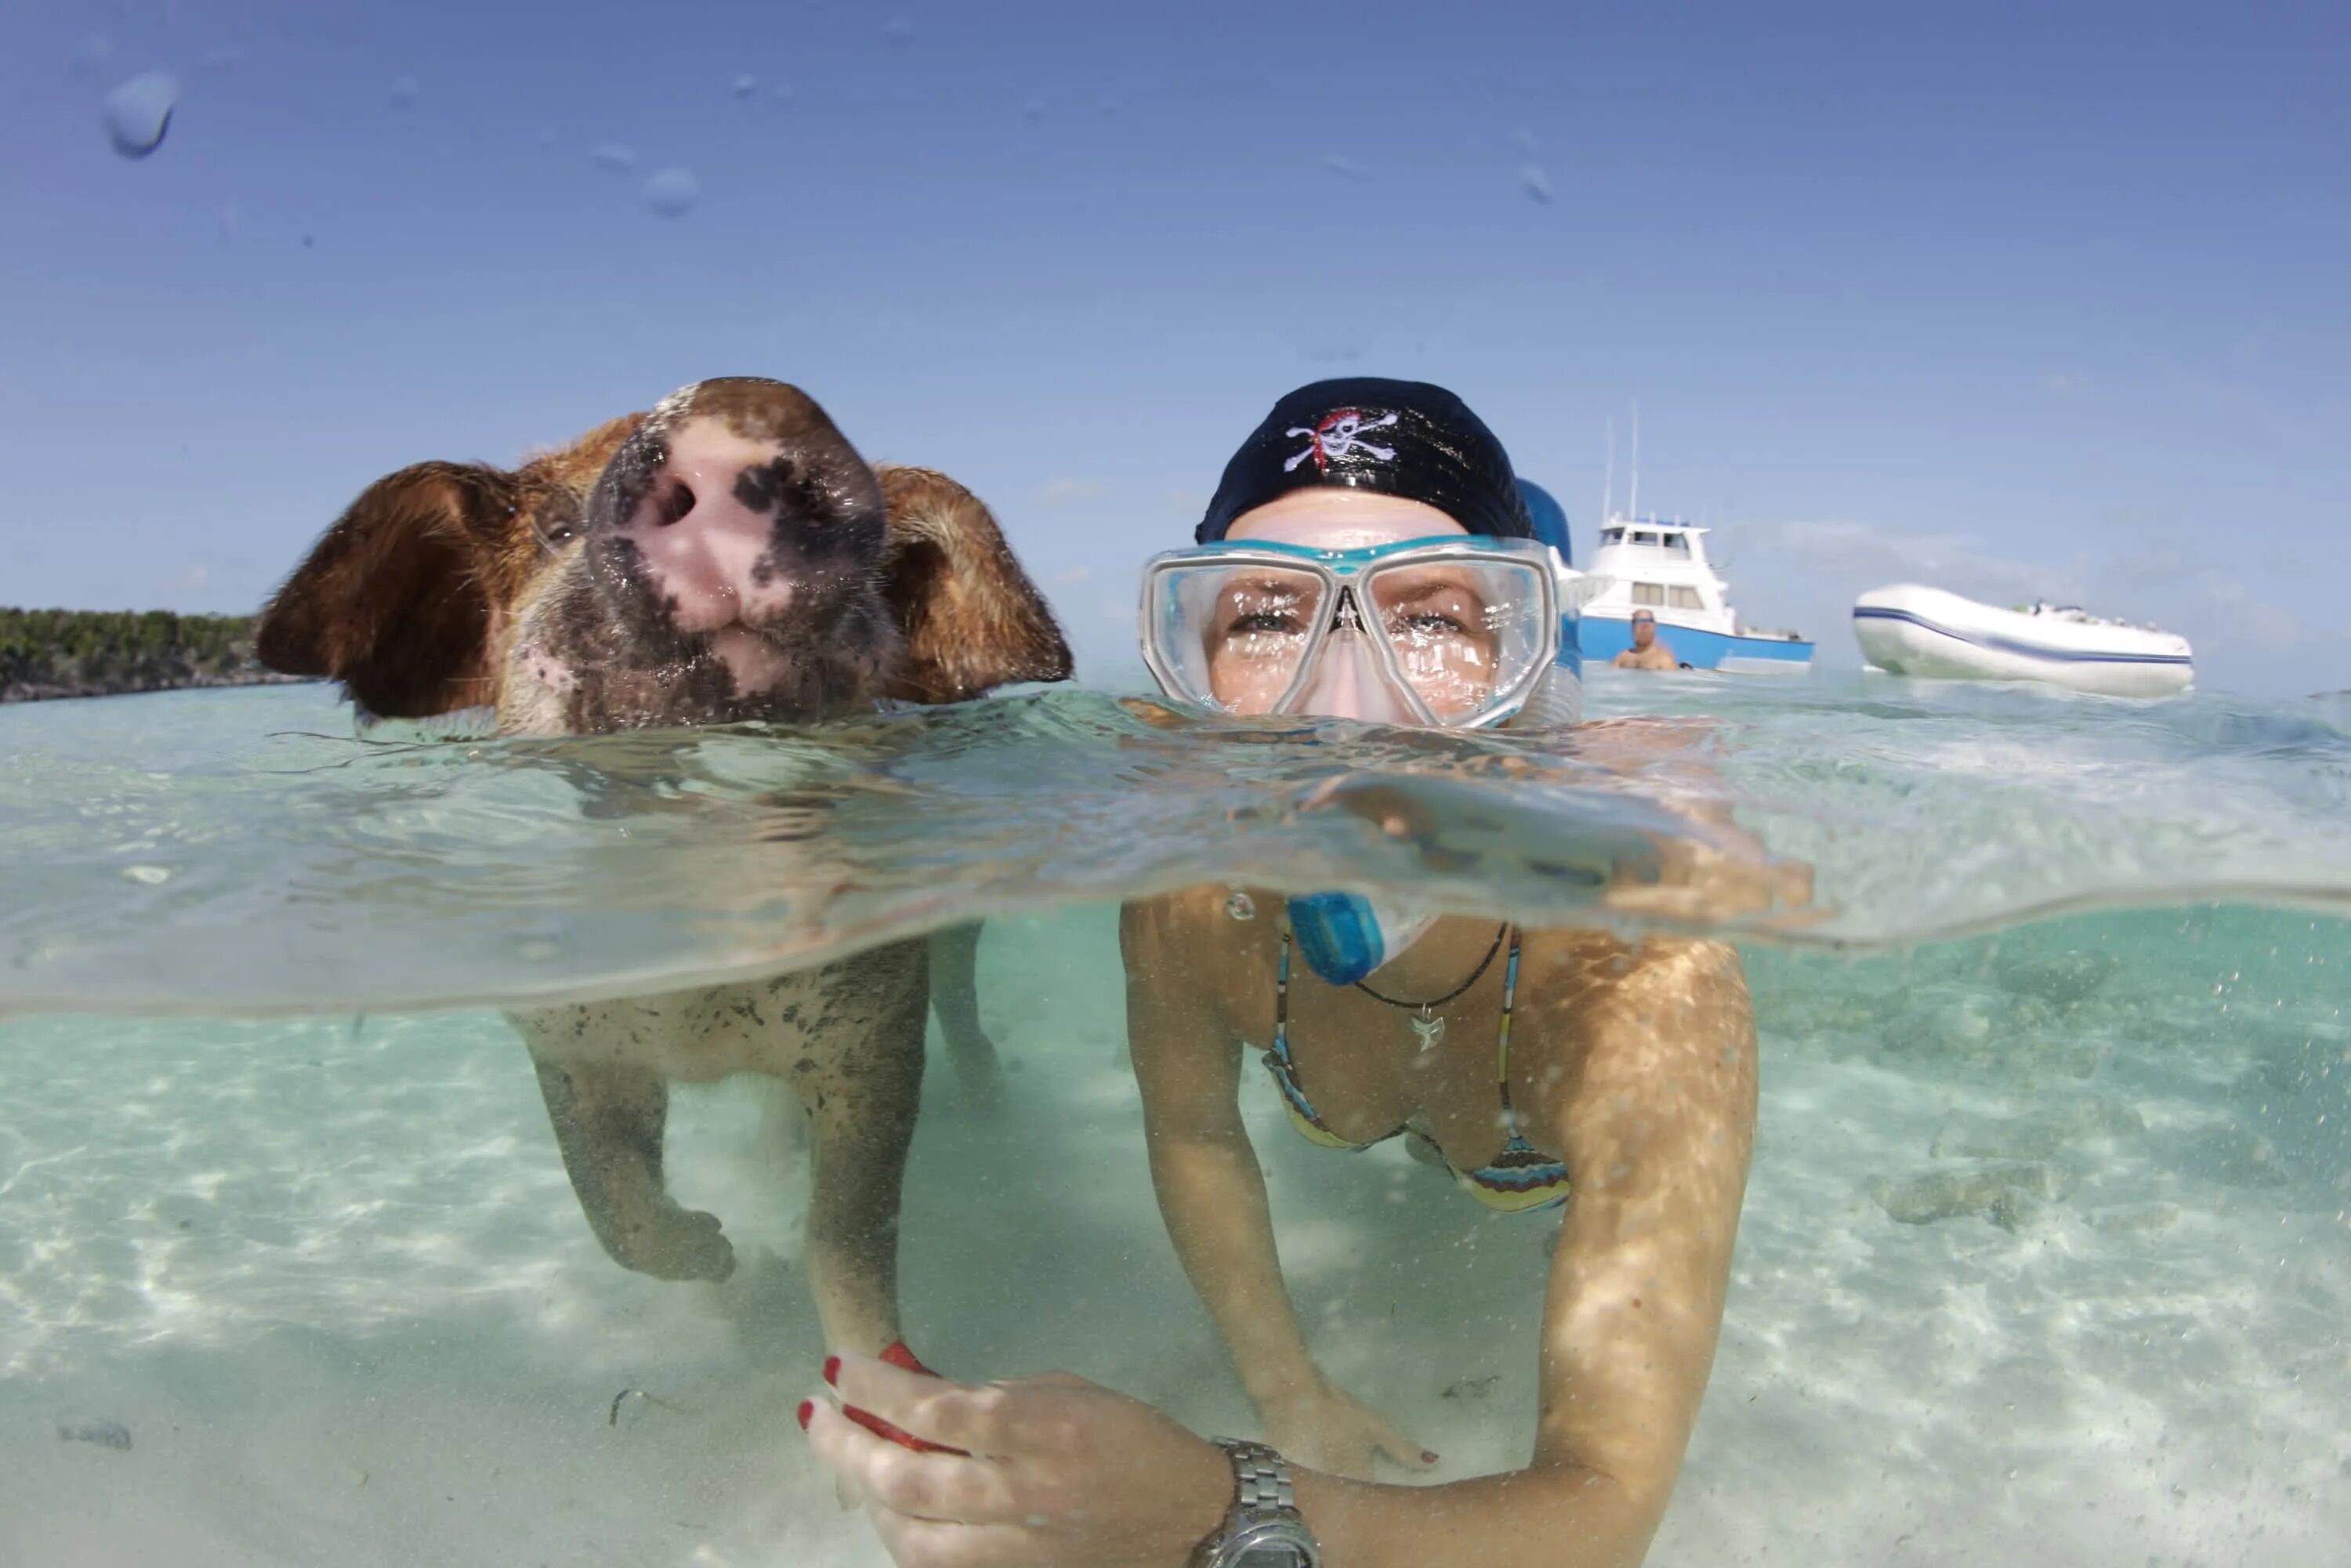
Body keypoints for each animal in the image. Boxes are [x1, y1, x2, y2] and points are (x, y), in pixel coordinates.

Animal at [255, 381, 1067, 1363]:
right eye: (554, 526)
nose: (742, 401)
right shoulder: (569, 1043)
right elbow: (608, 1198)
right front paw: (721, 1260)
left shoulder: (872, 1036)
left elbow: (849, 1233)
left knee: (962, 999)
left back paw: (993, 1104)